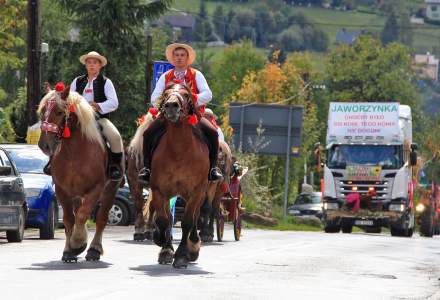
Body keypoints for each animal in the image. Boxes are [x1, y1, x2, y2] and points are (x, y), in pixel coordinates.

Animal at [37, 85, 123, 262]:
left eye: (59, 112)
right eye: (42, 111)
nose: (44, 145)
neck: (73, 152)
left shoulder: (96, 189)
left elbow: (83, 215)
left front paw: (78, 243)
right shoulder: (62, 191)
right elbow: (69, 220)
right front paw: (69, 250)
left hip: (110, 190)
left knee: (101, 219)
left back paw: (94, 249)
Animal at [143, 82, 208, 270]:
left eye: (186, 94)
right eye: (166, 94)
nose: (171, 106)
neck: (179, 151)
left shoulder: (195, 192)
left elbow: (187, 222)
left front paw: (181, 256)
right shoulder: (159, 191)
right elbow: (164, 220)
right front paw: (164, 248)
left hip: (200, 194)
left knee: (195, 217)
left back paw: (193, 248)